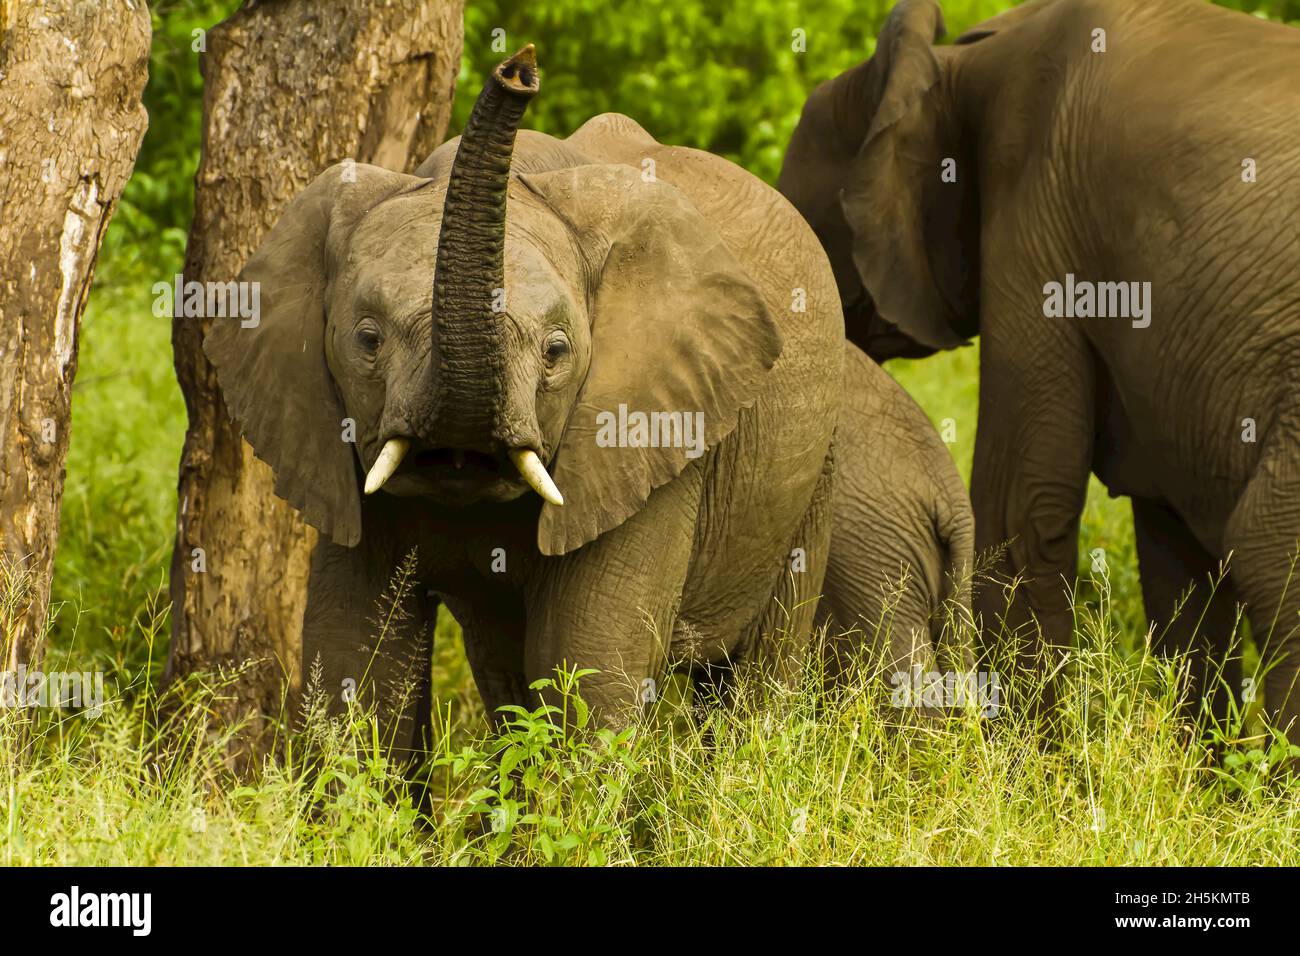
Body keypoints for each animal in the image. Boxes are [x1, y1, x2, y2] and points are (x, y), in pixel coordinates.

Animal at [204, 45, 850, 753]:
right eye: (367, 340)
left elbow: (588, 661)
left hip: (814, 465)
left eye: (557, 351)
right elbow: (352, 657)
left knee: (760, 668)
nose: (518, 68)